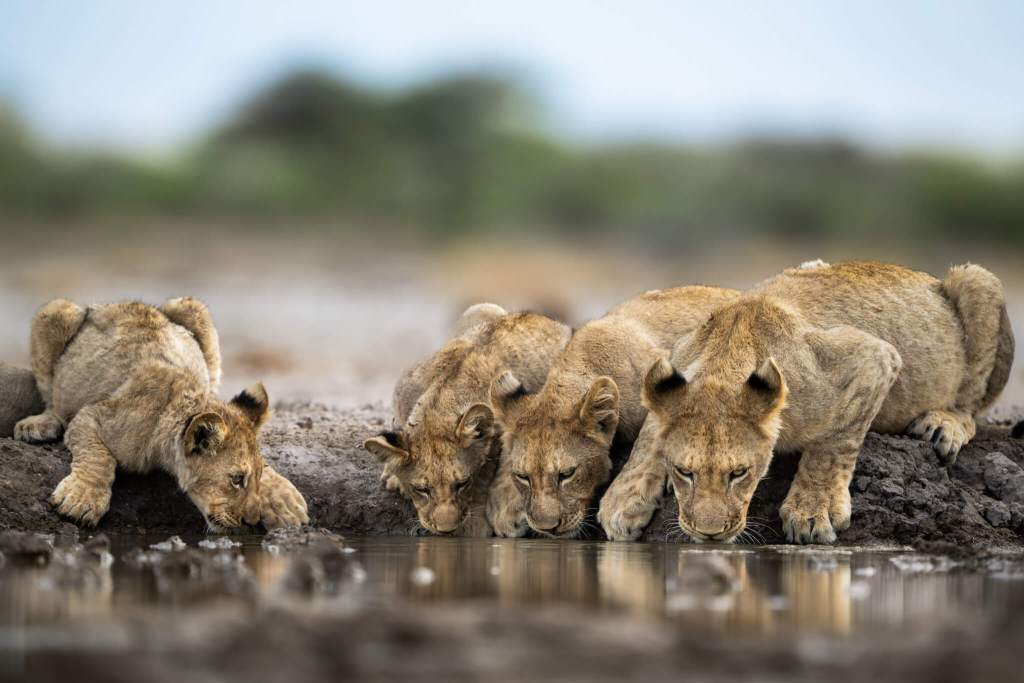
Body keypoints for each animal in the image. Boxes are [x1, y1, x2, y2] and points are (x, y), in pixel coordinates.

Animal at [12, 298, 309, 531]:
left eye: (255, 477)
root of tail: (118, 302)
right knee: (50, 396)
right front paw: (81, 500)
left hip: (192, 308)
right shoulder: (91, 416)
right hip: (54, 311)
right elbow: (98, 457)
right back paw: (40, 424)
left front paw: (282, 501)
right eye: (236, 480)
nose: (251, 521)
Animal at [488, 286, 740, 538]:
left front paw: (627, 504)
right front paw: (504, 506)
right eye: (523, 477)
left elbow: (653, 436)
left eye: (567, 474)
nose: (546, 528)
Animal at [601, 261, 1013, 544]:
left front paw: (814, 510)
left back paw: (945, 424)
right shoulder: (677, 359)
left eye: (740, 473)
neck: (727, 357)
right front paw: (624, 498)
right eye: (685, 472)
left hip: (978, 281)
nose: (710, 534)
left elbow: (835, 442)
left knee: (971, 403)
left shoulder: (872, 357)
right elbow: (649, 436)